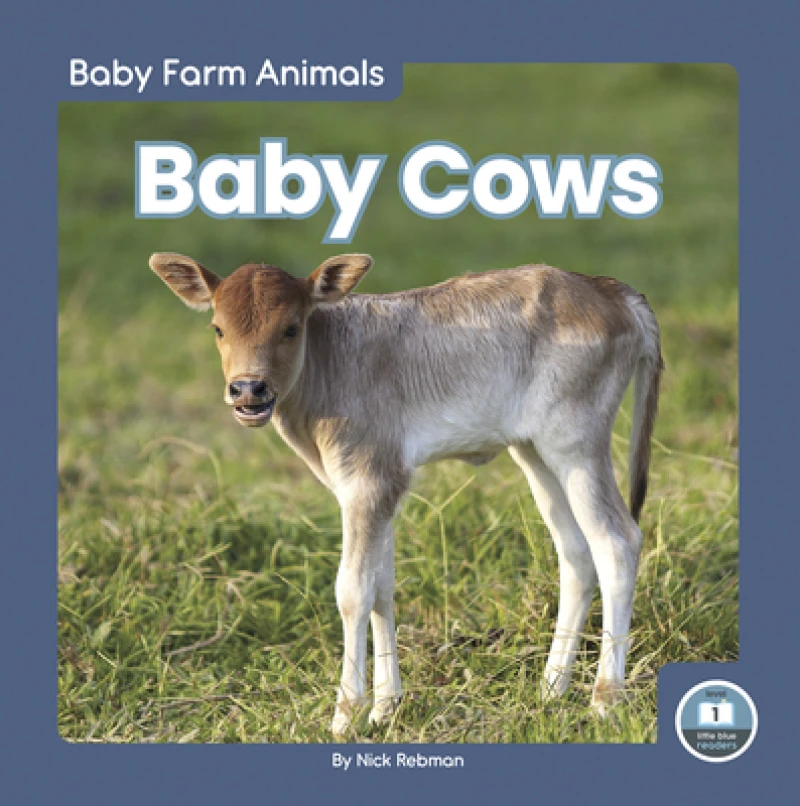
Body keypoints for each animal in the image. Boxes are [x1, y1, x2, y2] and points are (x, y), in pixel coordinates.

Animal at [149, 251, 662, 735]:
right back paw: (551, 690)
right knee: (575, 552)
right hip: (535, 451)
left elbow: (353, 590)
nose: (248, 389)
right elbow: (382, 586)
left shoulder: (366, 480)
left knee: (617, 541)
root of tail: (611, 290)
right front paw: (385, 709)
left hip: (576, 444)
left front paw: (345, 716)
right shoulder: (381, 485)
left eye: (291, 328)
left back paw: (604, 700)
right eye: (218, 328)